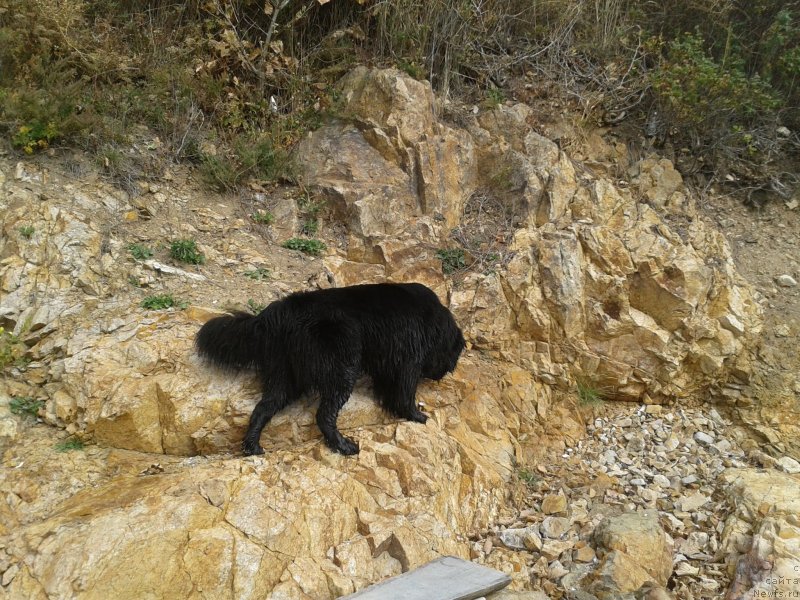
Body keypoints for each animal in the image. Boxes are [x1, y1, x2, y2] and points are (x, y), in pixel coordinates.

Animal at [196, 282, 466, 454]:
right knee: (325, 414)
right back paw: (344, 445)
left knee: (263, 408)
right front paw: (417, 415)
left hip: (284, 372)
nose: (442, 374)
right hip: (342, 365)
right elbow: (405, 392)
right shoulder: (409, 357)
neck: (435, 321)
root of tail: (278, 313)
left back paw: (252, 446)